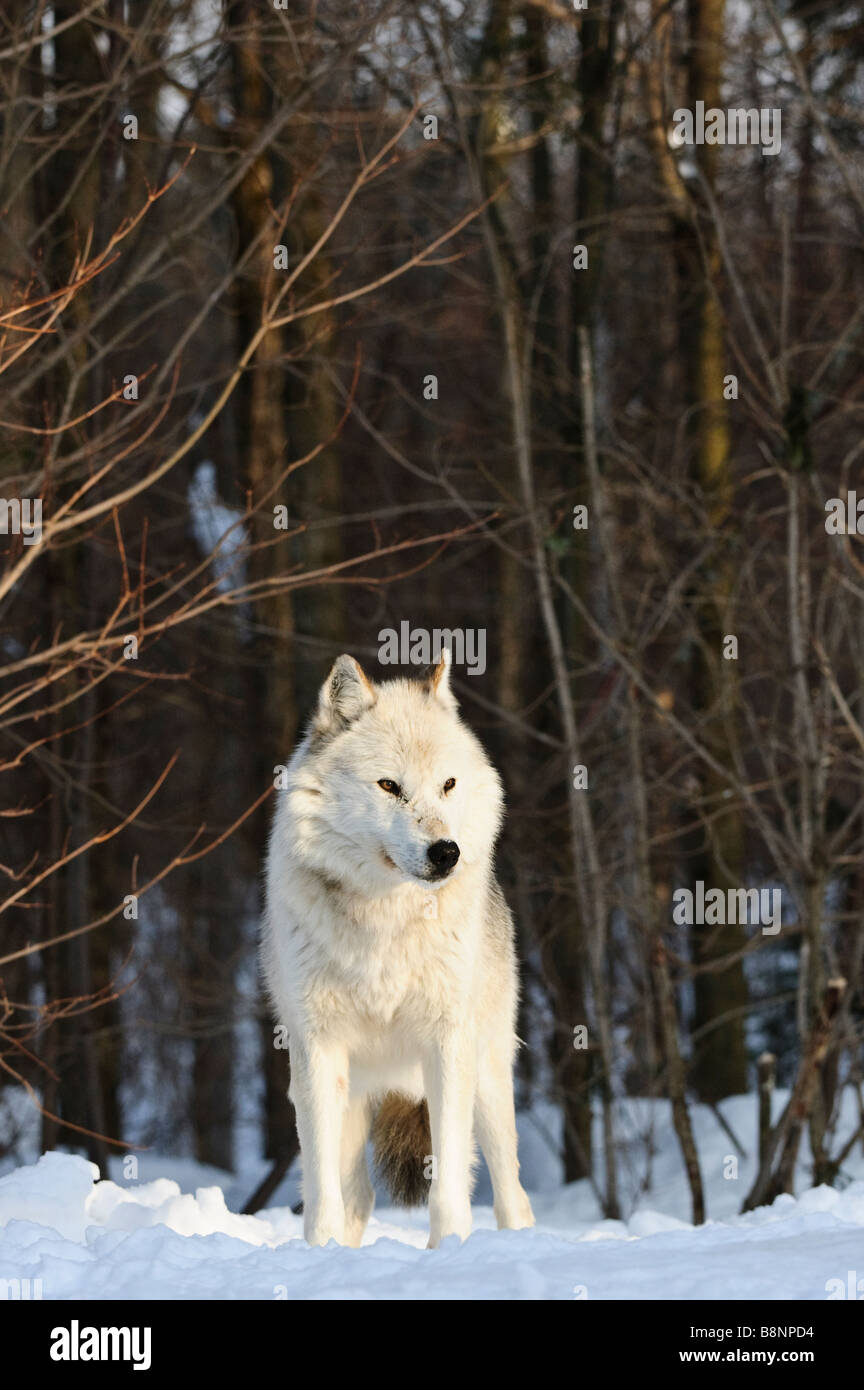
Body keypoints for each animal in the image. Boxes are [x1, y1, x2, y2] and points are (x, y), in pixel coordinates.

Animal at [261, 649, 535, 1248]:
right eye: (389, 786)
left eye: (448, 784)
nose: (446, 852)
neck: (385, 918)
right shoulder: (317, 1054)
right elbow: (322, 1194)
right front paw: (319, 1252)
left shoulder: (447, 1047)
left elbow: (449, 1186)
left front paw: (448, 1249)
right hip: (352, 1099)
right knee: (356, 1196)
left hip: (488, 1078)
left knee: (513, 1194)